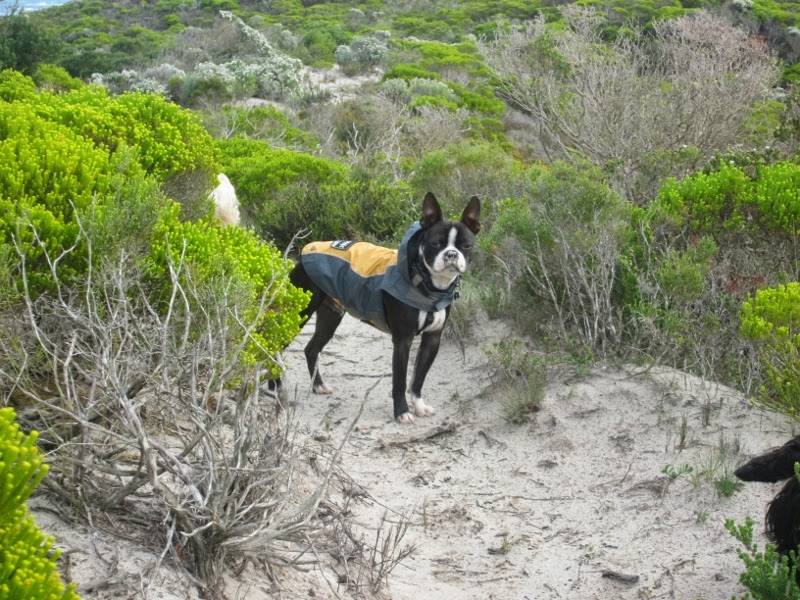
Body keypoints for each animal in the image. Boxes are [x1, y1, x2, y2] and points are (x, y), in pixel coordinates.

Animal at [286, 192, 481, 424]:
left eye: (466, 246)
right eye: (435, 243)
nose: (451, 254)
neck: (428, 286)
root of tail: (304, 254)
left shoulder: (432, 339)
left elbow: (418, 379)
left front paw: (419, 406)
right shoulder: (402, 341)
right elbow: (400, 381)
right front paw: (402, 412)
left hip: (330, 317)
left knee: (311, 348)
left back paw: (318, 385)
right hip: (298, 314)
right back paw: (275, 388)